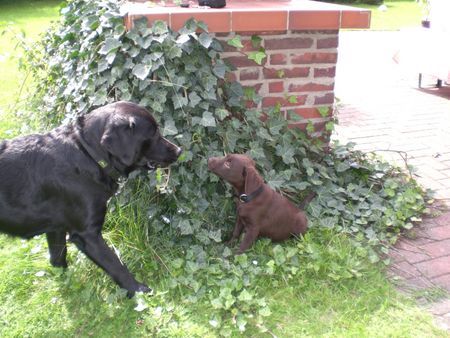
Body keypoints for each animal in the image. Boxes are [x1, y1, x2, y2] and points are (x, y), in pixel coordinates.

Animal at [0, 100, 181, 296]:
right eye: (153, 133)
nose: (179, 150)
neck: (88, 154)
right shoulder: (87, 235)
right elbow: (117, 266)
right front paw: (139, 290)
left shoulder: (56, 228)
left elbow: (58, 259)